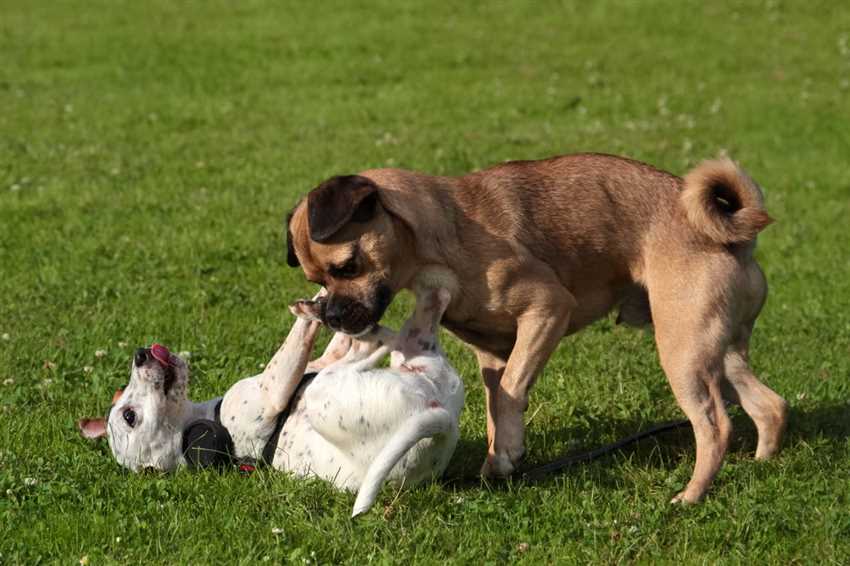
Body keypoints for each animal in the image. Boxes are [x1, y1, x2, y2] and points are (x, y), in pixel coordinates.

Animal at [78, 290, 464, 516]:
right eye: (130, 417)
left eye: (123, 401)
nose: (140, 354)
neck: (202, 419)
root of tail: (441, 417)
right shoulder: (274, 391)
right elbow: (302, 339)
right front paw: (319, 309)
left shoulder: (303, 367)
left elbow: (322, 349)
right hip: (329, 392)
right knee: (366, 354)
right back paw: (375, 334)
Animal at [284, 153, 788, 504]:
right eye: (316, 280)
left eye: (347, 267)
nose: (330, 315)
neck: (446, 232)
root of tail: (734, 237)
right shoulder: (492, 355)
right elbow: (496, 402)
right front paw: (498, 461)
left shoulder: (547, 310)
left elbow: (511, 391)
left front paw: (507, 453)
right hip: (715, 351)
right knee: (769, 406)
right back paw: (763, 464)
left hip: (682, 353)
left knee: (716, 426)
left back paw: (692, 495)